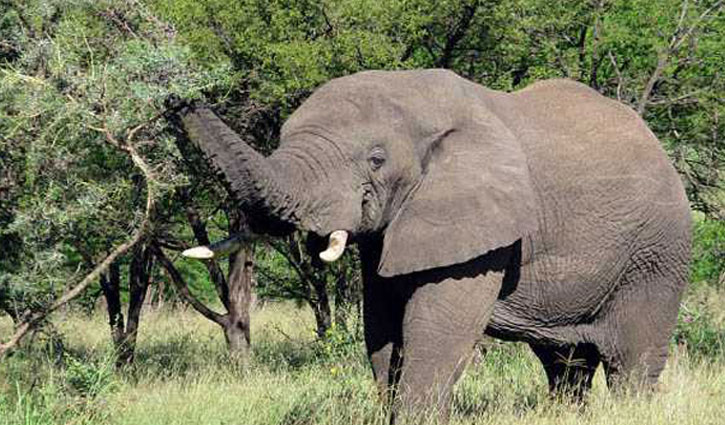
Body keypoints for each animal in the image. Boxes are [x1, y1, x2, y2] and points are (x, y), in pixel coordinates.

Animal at [175, 69, 691, 416]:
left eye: (376, 159)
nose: (177, 99)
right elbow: (382, 329)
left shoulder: (481, 230)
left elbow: (436, 331)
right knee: (566, 363)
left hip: (656, 256)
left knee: (630, 364)